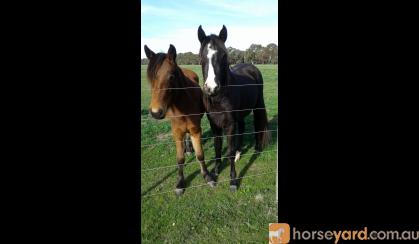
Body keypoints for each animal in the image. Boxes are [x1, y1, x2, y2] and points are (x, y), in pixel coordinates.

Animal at [144, 43, 217, 195]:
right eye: (149, 77)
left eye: (171, 76)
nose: (155, 112)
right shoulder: (176, 133)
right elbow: (180, 159)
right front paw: (180, 183)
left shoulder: (196, 130)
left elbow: (200, 155)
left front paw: (207, 176)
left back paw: (189, 148)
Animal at [198, 25, 270, 192]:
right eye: (201, 56)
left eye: (224, 55)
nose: (212, 88)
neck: (220, 97)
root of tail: (252, 67)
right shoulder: (215, 124)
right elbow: (218, 148)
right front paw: (216, 171)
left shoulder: (229, 124)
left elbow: (228, 152)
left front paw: (233, 181)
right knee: (242, 128)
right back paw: (239, 153)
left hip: (258, 106)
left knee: (257, 124)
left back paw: (257, 148)